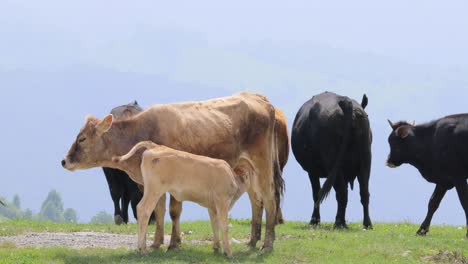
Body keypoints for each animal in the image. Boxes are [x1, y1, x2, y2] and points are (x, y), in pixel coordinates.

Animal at [113, 141, 252, 256]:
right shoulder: (222, 201)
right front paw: (228, 253)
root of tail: (156, 146)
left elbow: (214, 225)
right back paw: (143, 249)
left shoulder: (212, 206)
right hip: (154, 190)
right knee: (143, 210)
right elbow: (224, 226)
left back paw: (140, 247)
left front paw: (217, 248)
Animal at [292, 92, 372, 229]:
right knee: (364, 192)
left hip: (333, 161)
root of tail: (345, 101)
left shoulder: (312, 171)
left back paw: (339, 223)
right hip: (366, 159)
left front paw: (314, 221)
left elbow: (316, 193)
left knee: (341, 192)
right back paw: (366, 224)